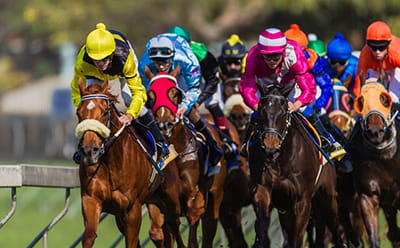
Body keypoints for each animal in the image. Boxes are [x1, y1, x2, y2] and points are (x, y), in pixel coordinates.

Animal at [75, 80, 166, 248]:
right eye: (79, 113)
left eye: (105, 112)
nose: (90, 151)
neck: (112, 162)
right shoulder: (91, 199)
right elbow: (89, 236)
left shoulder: (133, 209)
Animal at [250, 80, 344, 247]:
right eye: (260, 113)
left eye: (283, 113)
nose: (270, 147)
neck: (280, 159)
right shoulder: (264, 188)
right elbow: (262, 226)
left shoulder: (302, 201)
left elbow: (297, 237)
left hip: (328, 195)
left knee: (335, 227)